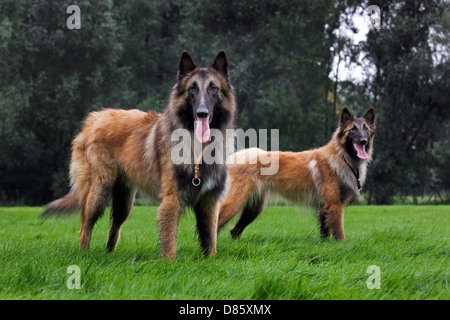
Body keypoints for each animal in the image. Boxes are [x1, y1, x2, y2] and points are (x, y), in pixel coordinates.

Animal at [43, 50, 237, 260]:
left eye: (213, 88)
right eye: (192, 89)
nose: (202, 113)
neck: (198, 145)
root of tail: (93, 118)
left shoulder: (209, 201)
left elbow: (210, 239)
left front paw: (210, 260)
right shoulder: (171, 199)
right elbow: (170, 241)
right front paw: (170, 263)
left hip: (124, 202)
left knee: (114, 229)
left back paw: (109, 256)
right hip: (99, 191)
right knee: (85, 226)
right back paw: (84, 256)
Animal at [218, 107, 376, 240]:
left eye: (366, 129)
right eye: (352, 129)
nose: (363, 141)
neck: (342, 157)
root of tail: (236, 157)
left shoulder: (325, 208)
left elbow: (325, 233)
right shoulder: (334, 205)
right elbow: (339, 233)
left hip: (253, 209)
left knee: (234, 231)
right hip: (235, 202)